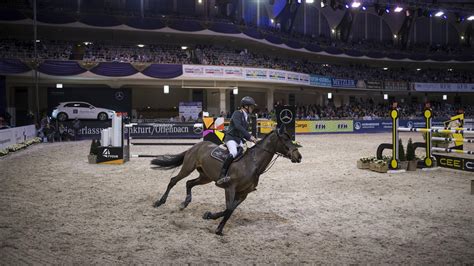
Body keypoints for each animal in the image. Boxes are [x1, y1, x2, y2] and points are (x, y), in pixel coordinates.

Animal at [150, 127, 302, 235]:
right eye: (285, 140)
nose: (299, 156)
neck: (253, 164)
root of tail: (196, 146)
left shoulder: (243, 194)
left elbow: (230, 210)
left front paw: (209, 216)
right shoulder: (230, 188)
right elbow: (228, 209)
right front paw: (218, 229)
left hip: (206, 177)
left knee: (189, 183)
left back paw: (184, 203)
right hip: (188, 167)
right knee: (173, 181)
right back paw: (160, 202)